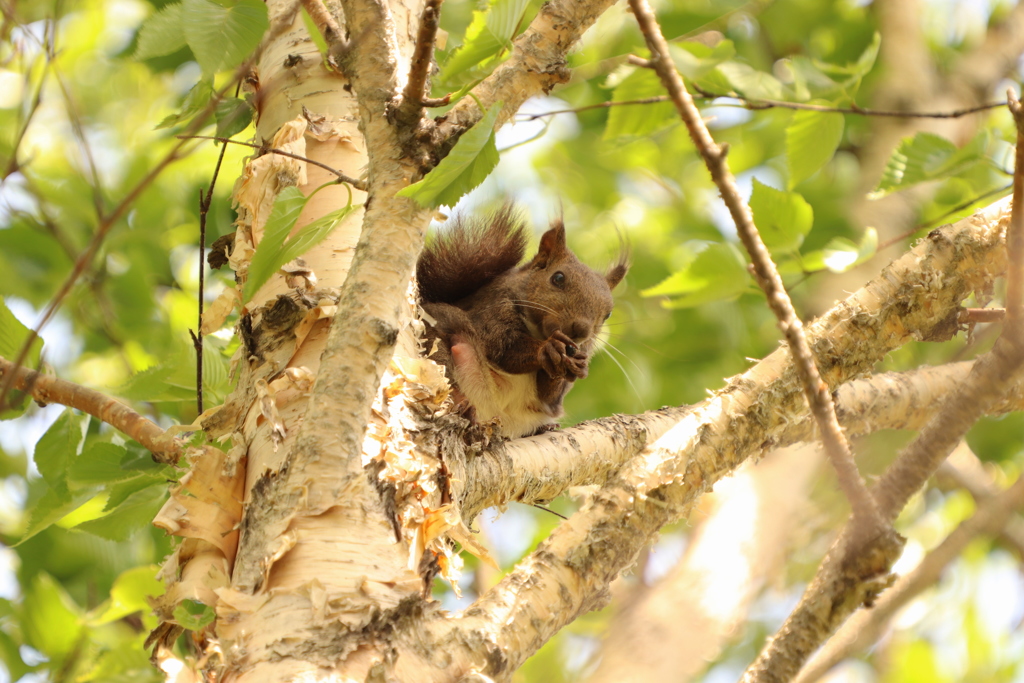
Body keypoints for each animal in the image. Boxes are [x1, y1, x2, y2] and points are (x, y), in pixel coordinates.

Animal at [413, 204, 622, 438]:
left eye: (608, 314)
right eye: (558, 278)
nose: (581, 330)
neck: (538, 331)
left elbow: (549, 397)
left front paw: (577, 365)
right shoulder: (491, 310)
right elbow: (504, 348)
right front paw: (547, 348)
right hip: (437, 338)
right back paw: (462, 404)